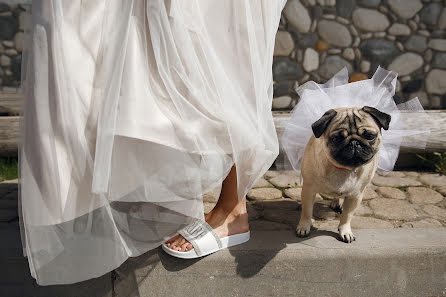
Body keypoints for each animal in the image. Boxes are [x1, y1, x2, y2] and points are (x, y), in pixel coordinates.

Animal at [296, 105, 390, 242]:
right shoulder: (309, 190)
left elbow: (347, 216)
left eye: (370, 136)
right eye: (336, 138)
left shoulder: (355, 196)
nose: (354, 143)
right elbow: (307, 211)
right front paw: (304, 226)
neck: (343, 168)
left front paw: (345, 231)